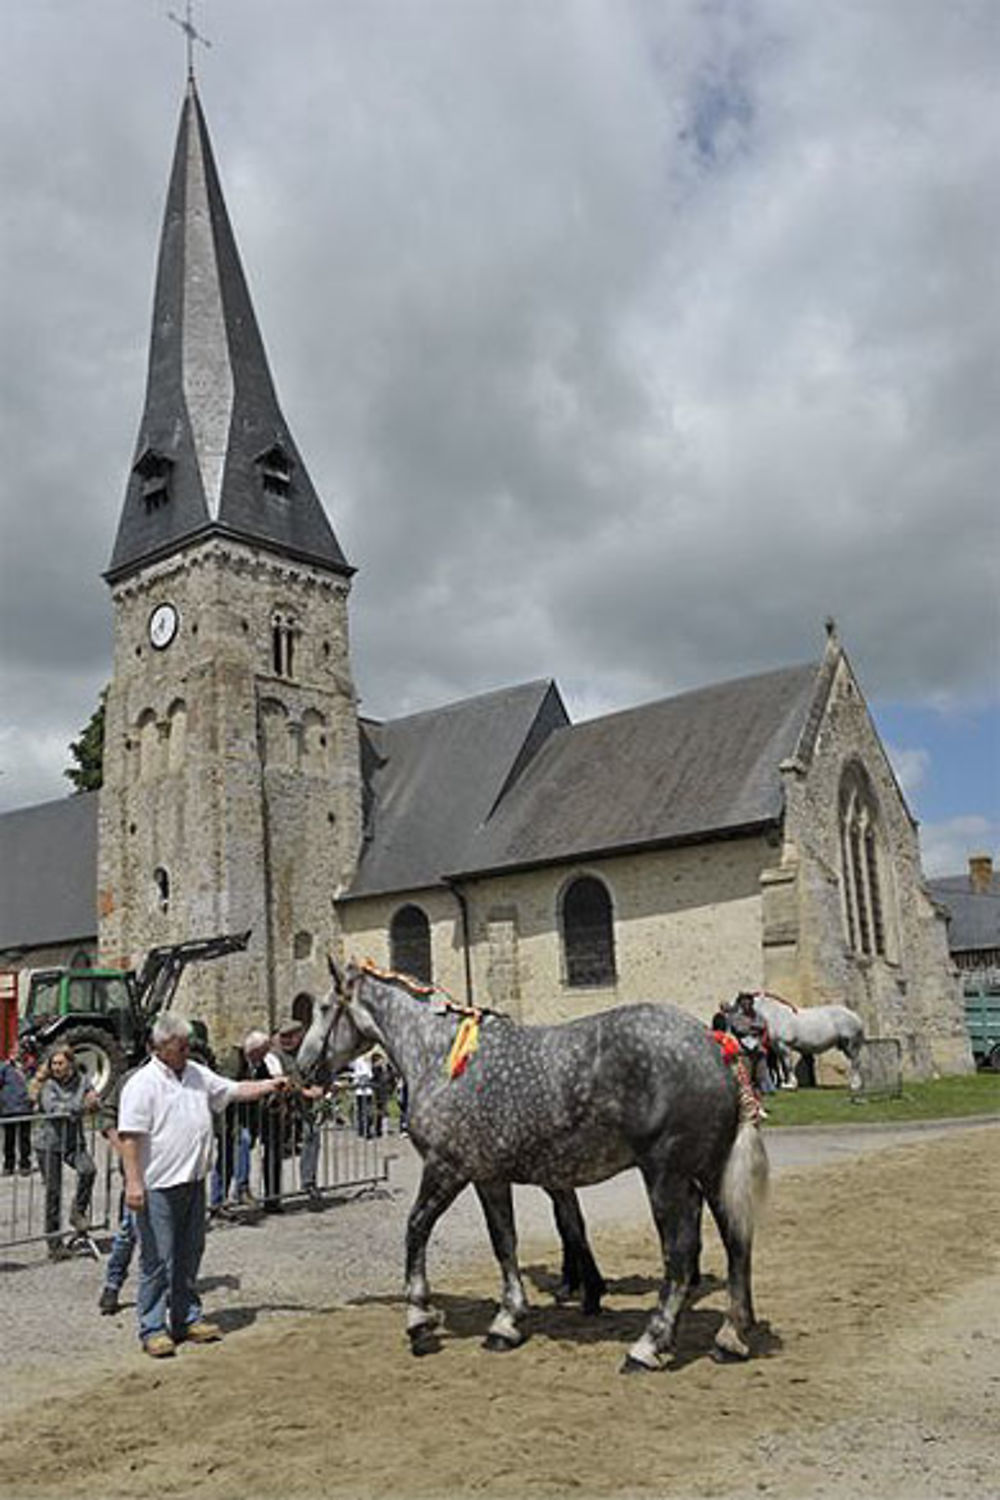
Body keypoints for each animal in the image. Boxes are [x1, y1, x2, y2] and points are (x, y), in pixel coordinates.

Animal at [296, 966, 767, 1374]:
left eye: (324, 1008)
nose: (302, 1069)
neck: (437, 1054)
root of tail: (715, 1046)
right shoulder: (489, 1177)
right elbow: (504, 1241)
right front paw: (507, 1322)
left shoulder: (447, 1168)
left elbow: (416, 1229)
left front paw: (418, 1320)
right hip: (709, 1174)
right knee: (736, 1242)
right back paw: (731, 1337)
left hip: (667, 1177)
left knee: (681, 1254)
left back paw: (648, 1346)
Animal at [734, 990, 869, 1098]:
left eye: (740, 1005)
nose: (735, 1029)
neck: (775, 1016)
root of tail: (855, 1016)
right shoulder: (778, 1048)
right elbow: (783, 1066)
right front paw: (785, 1083)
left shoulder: (785, 1046)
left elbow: (788, 1066)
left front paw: (791, 1085)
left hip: (851, 1045)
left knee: (856, 1063)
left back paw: (855, 1086)